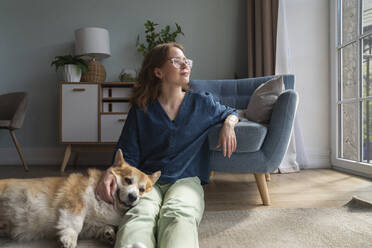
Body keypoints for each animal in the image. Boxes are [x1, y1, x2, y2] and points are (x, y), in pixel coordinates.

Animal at [0, 149, 158, 248]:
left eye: (142, 190)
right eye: (128, 180)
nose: (133, 197)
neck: (110, 204)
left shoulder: (91, 226)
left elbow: (99, 227)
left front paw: (109, 233)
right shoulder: (75, 202)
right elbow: (75, 223)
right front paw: (68, 240)